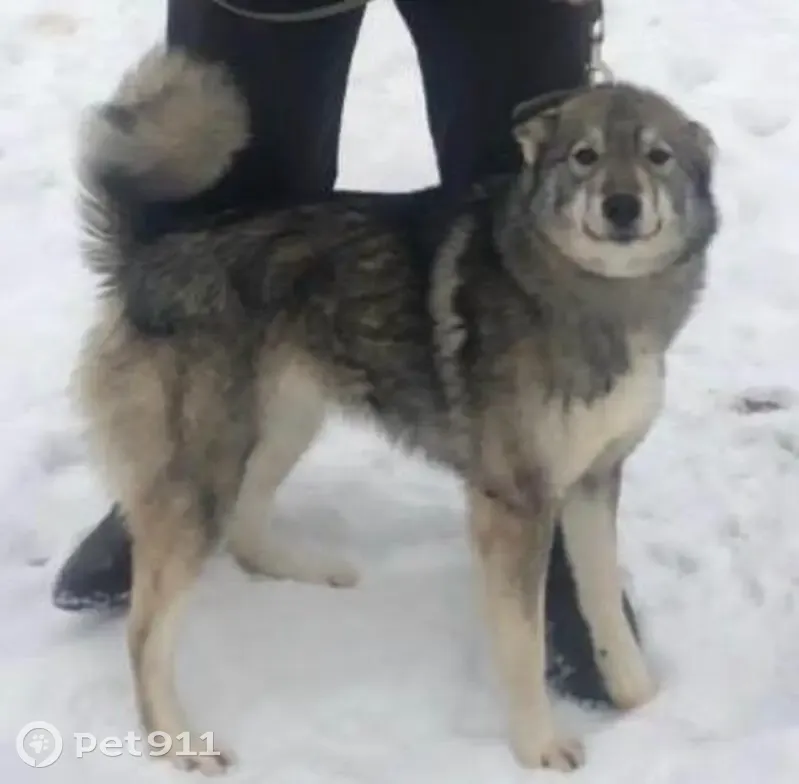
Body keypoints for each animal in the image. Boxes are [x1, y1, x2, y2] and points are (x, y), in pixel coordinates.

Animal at [73, 47, 718, 773]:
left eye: (658, 156)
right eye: (584, 156)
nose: (621, 205)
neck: (597, 297)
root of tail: (145, 259)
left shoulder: (592, 479)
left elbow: (602, 601)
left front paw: (640, 700)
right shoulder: (514, 501)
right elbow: (521, 642)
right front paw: (538, 747)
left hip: (280, 423)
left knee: (244, 530)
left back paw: (309, 569)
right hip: (205, 469)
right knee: (145, 629)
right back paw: (177, 743)